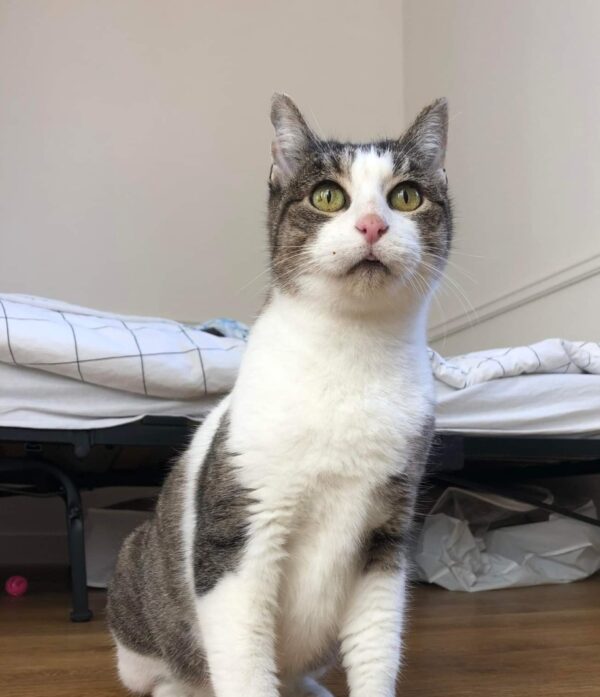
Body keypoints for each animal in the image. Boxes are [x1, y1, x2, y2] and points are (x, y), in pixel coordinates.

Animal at [107, 93, 452, 697]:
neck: (350, 356)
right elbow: (244, 661)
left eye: (406, 196)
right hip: (137, 571)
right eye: (327, 195)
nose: (371, 225)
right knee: (162, 673)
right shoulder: (240, 531)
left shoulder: (387, 535)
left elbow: (377, 643)